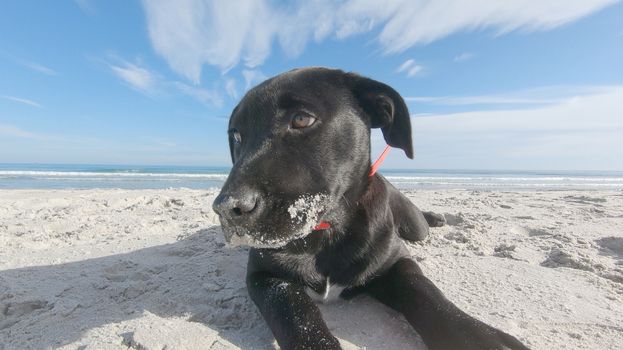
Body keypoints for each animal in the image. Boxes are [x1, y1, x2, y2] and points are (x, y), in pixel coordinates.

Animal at [213, 68, 528, 350]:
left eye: (301, 119)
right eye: (237, 136)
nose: (227, 208)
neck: (327, 230)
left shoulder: (397, 262)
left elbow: (426, 292)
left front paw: (482, 337)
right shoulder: (264, 276)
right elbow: (295, 313)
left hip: (415, 227)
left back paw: (437, 217)